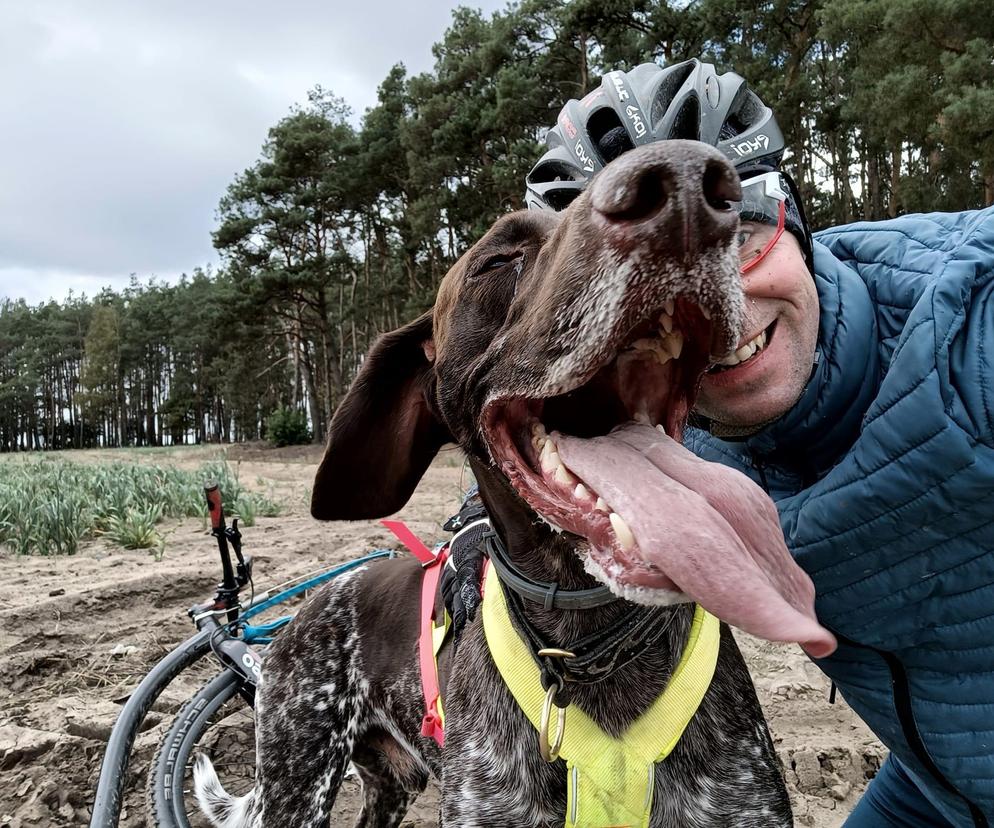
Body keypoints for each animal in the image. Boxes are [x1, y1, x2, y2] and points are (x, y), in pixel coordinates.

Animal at [192, 139, 828, 824]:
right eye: (498, 259)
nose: (689, 184)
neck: (587, 651)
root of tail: (302, 613)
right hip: (298, 782)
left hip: (388, 788)